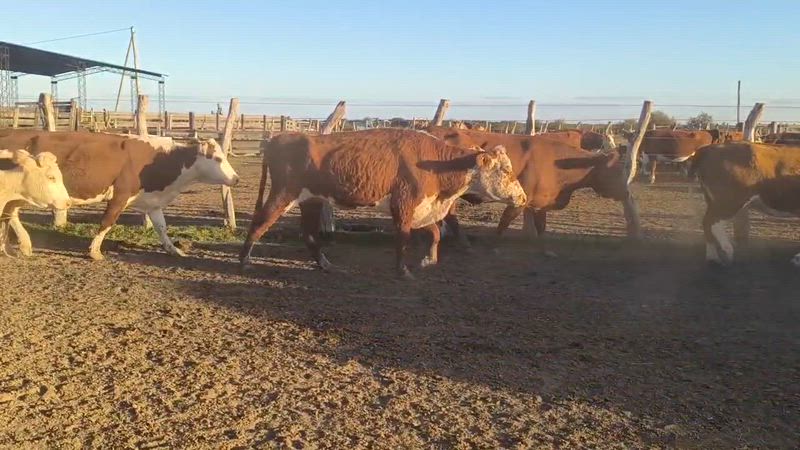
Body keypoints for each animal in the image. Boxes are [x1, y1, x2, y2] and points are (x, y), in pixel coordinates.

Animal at [0, 130, 239, 260]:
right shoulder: (121, 195)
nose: (236, 179)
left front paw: (173, 250)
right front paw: (94, 251)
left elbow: (162, 227)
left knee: (11, 214)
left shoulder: (153, 202)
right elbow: (107, 222)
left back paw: (23, 246)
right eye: (218, 158)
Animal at [239, 129, 527, 278]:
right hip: (283, 194)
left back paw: (325, 264)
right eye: (505, 170)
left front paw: (428, 260)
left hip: (311, 200)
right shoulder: (403, 204)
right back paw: (244, 260)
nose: (523, 197)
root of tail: (278, 137)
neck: (434, 162)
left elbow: (434, 233)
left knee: (308, 234)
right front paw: (403, 270)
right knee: (260, 222)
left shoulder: (421, 208)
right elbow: (403, 238)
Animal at [424, 126, 636, 246]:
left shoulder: (541, 202)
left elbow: (541, 226)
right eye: (615, 171)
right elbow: (504, 222)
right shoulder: (520, 200)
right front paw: (494, 241)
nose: (627, 193)